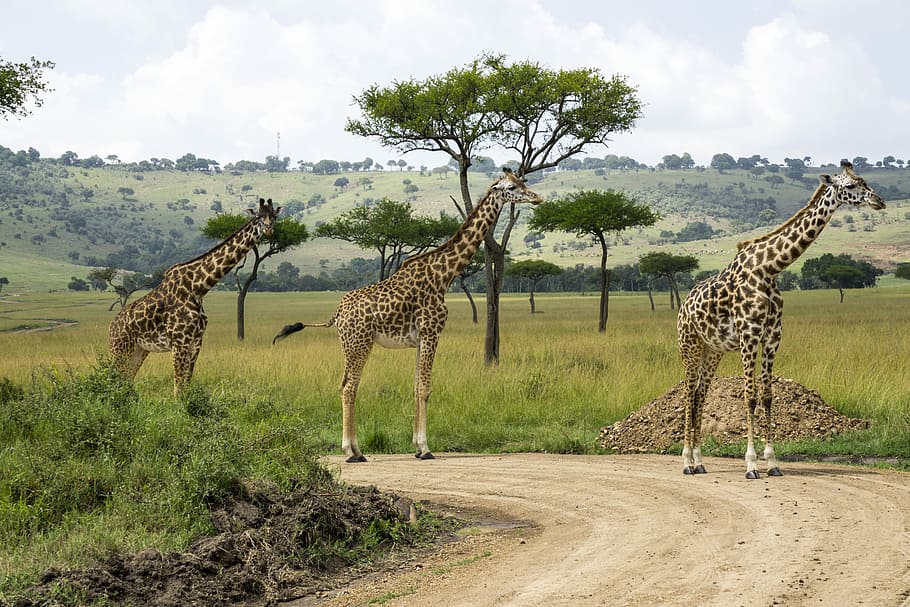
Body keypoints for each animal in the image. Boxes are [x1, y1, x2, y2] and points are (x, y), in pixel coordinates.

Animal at [109, 198, 280, 395]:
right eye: (258, 217)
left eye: (274, 216)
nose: (268, 229)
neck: (198, 288)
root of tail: (111, 327)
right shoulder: (179, 341)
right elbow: (178, 388)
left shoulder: (196, 341)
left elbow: (187, 385)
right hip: (120, 348)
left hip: (139, 349)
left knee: (126, 380)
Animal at [273, 169, 542, 462]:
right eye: (511, 187)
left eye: (522, 182)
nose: (537, 197)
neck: (444, 275)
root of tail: (337, 313)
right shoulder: (431, 332)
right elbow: (425, 388)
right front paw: (425, 448)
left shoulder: (420, 339)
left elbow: (416, 387)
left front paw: (416, 446)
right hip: (358, 343)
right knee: (349, 387)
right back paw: (351, 451)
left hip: (350, 344)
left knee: (344, 384)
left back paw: (358, 449)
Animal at [676, 160, 885, 479]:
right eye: (850, 186)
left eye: (864, 181)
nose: (879, 201)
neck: (769, 269)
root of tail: (683, 306)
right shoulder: (749, 334)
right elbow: (749, 396)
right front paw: (751, 464)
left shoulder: (773, 335)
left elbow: (767, 396)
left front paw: (772, 462)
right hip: (689, 343)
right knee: (688, 393)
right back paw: (686, 461)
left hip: (713, 350)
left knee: (701, 393)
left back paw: (700, 461)